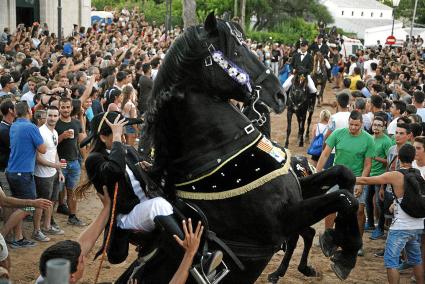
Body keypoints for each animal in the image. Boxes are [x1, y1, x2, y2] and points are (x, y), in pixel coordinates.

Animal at [117, 12, 360, 282]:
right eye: (236, 51)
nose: (280, 95)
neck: (218, 153)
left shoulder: (300, 191)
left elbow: (344, 176)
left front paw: (338, 242)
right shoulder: (282, 221)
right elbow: (345, 198)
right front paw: (345, 253)